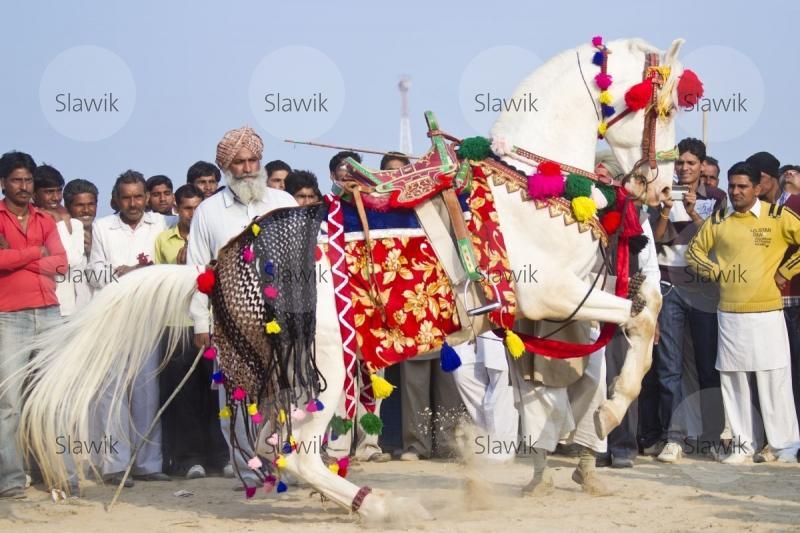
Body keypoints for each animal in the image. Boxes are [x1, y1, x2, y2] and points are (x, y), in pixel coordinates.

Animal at [14, 37, 680, 520]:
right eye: (667, 105)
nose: (662, 189)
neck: (524, 184)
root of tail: (212, 272)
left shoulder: (558, 303)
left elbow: (637, 308)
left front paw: (593, 421)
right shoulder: (551, 294)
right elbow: (641, 318)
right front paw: (612, 410)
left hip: (292, 377)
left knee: (275, 449)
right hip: (327, 368)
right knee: (294, 454)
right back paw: (387, 505)